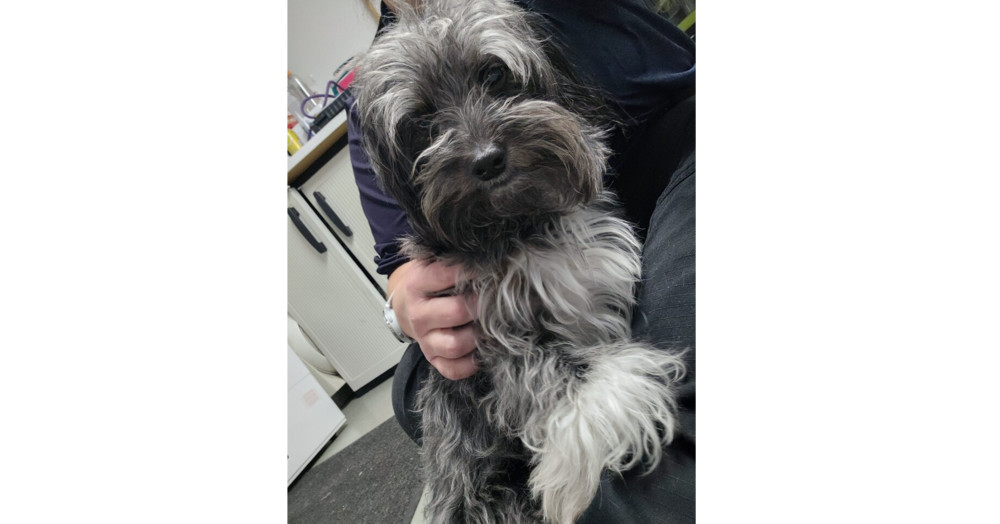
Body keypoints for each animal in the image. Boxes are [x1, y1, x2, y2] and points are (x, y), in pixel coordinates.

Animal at [352, 2, 688, 520]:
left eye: (493, 73)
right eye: (423, 119)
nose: (488, 159)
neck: (521, 226)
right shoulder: (490, 338)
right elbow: (547, 370)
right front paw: (614, 401)